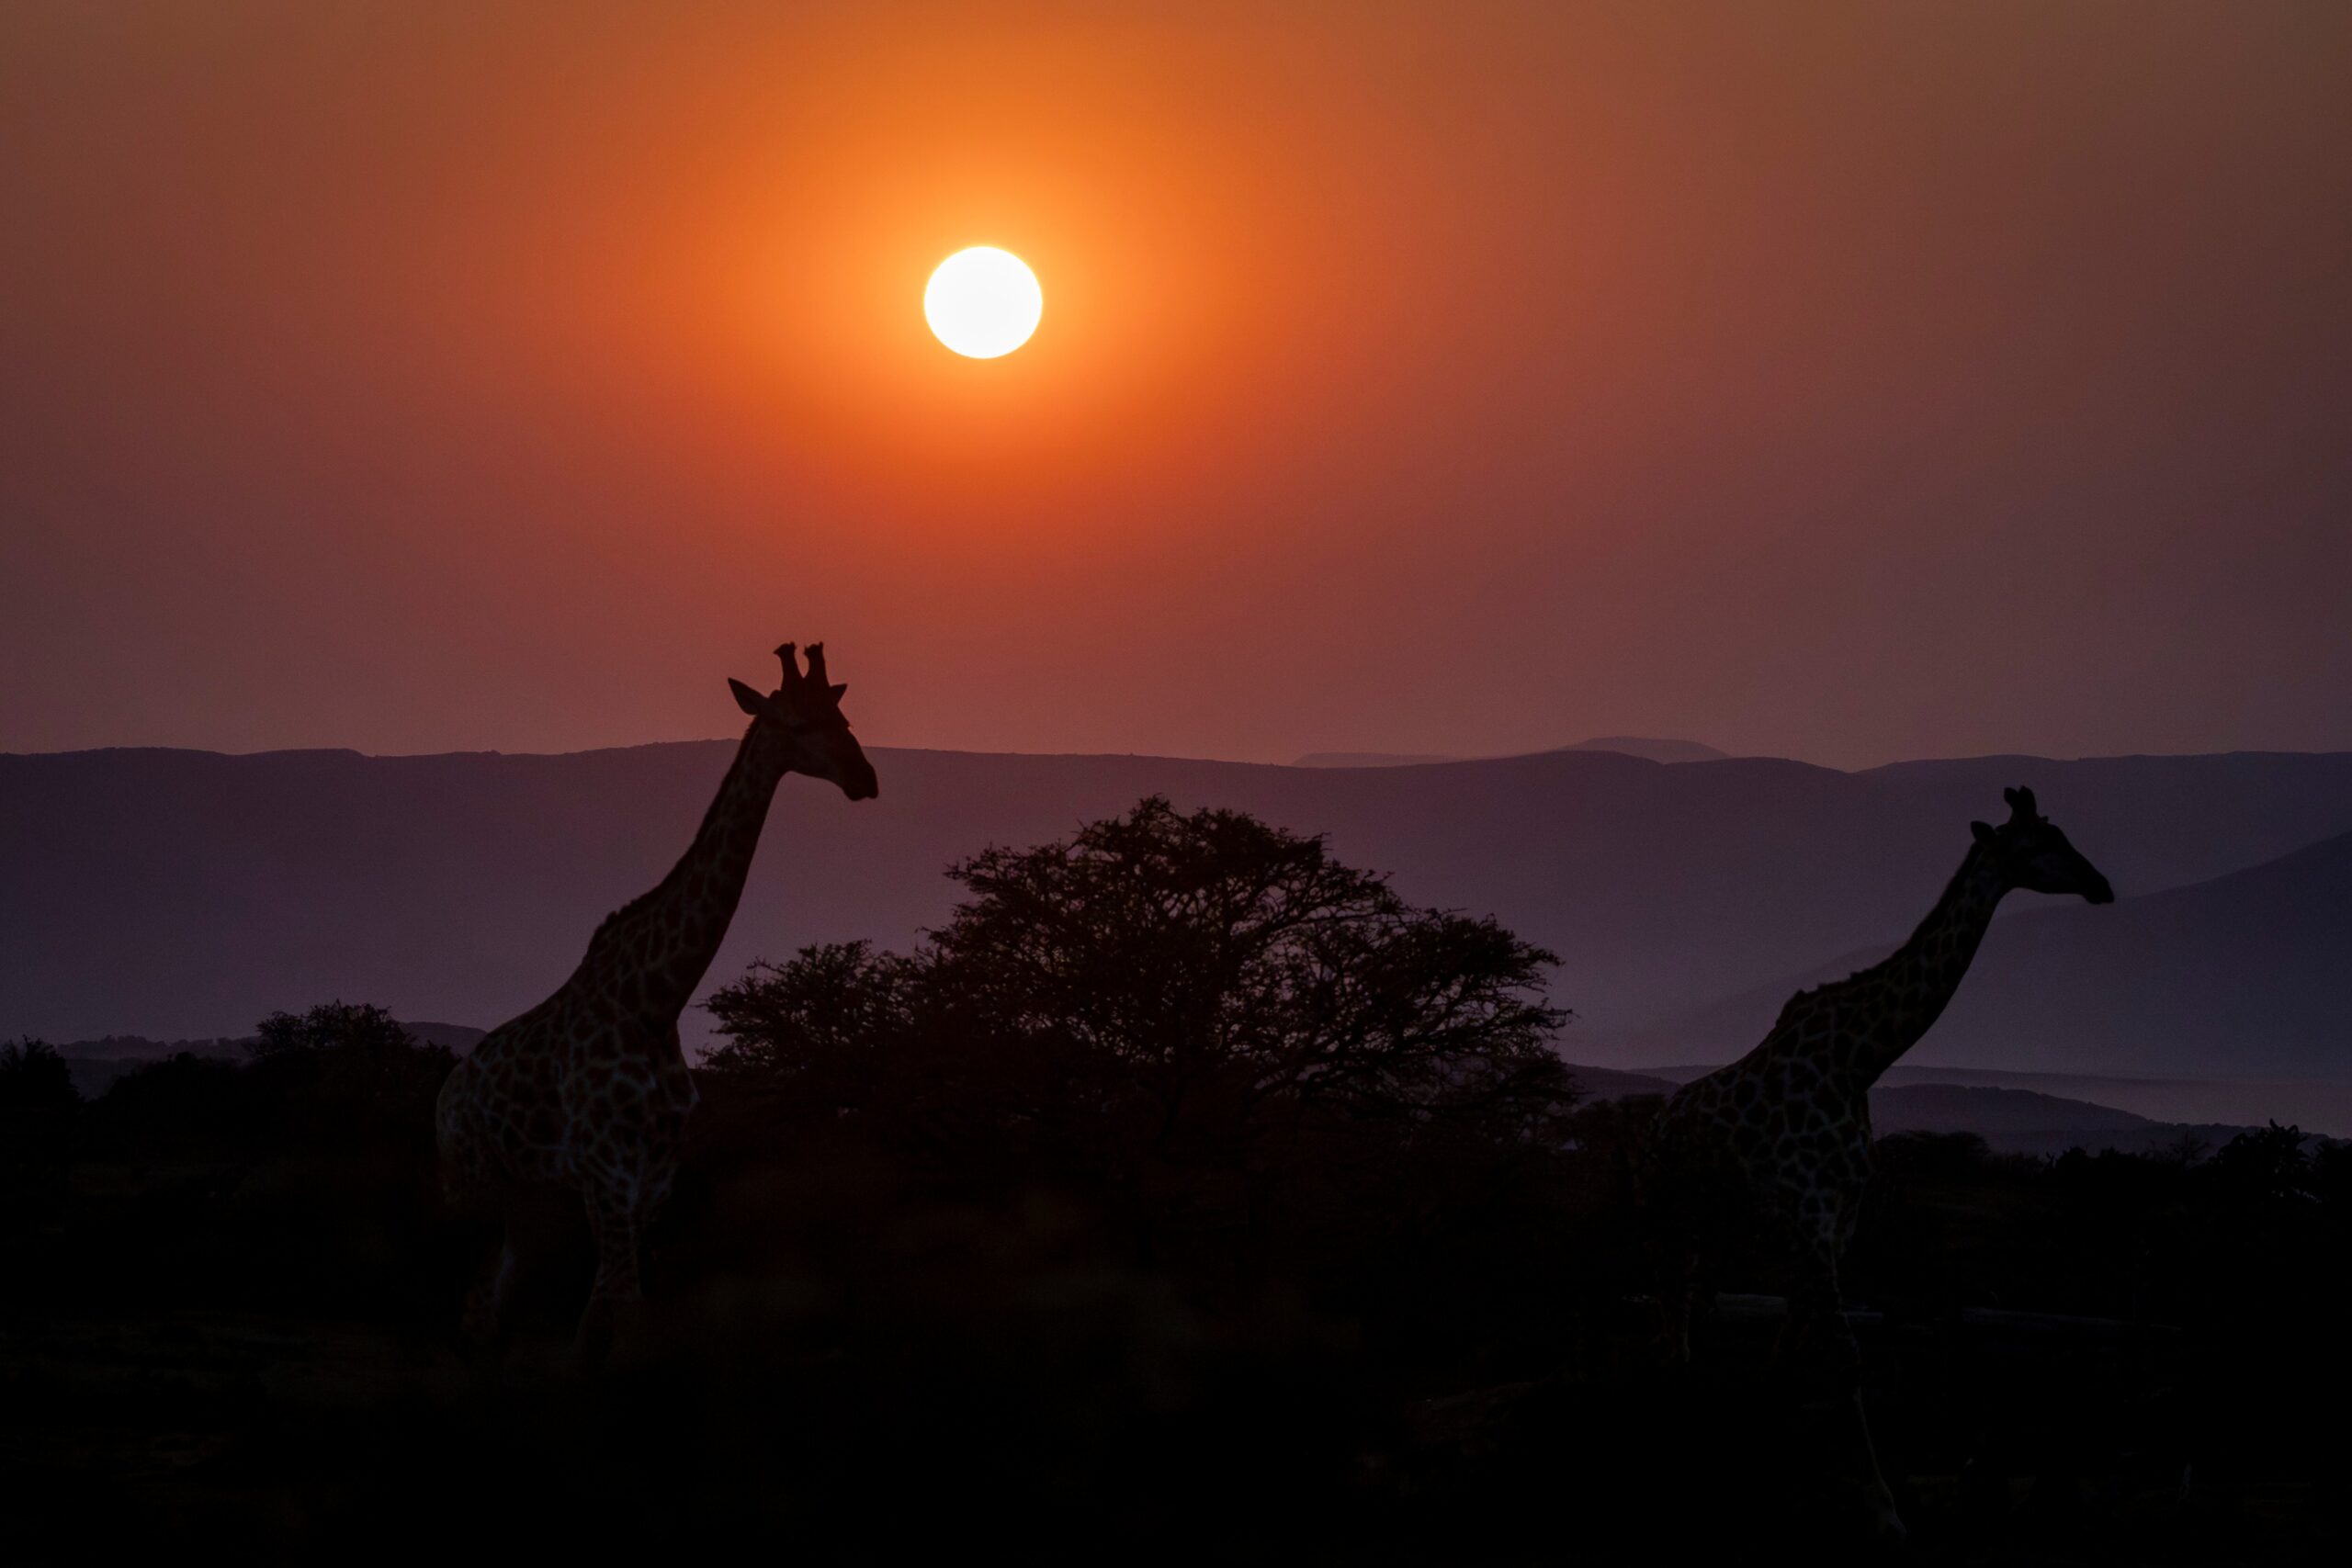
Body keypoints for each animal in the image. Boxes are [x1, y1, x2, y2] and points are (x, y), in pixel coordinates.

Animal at [435, 641, 877, 1360]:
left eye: (843, 716)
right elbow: (624, 1307)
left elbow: (608, 1314)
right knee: (472, 1302)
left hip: (524, 1197)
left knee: (492, 1296)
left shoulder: (654, 1177)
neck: (654, 1000)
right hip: (469, 1182)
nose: (865, 778)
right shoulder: (607, 1170)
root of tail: (443, 1098)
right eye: (797, 724)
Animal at [1645, 786, 2113, 1534]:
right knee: (1669, 1303)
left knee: (1688, 1307)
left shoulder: (1837, 1218)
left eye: (2061, 833)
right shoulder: (1810, 1212)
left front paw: (1768, 1442)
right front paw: (1882, 1505)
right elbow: (1842, 1351)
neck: (1860, 1058)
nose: (2101, 884)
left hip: (1719, 1218)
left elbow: (1796, 1336)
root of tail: (1658, 1123)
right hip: (1671, 1209)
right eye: (2041, 843)